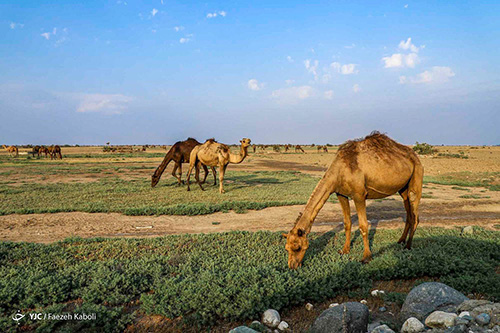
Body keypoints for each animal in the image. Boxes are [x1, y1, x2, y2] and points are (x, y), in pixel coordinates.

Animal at [286, 131, 422, 268]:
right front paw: (344, 250)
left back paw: (408, 246)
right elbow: (347, 223)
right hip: (403, 189)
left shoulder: (359, 194)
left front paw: (366, 257)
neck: (339, 171)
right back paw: (400, 240)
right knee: (408, 213)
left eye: (297, 247)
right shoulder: (340, 194)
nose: (292, 266)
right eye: (287, 248)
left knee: (415, 215)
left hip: (417, 177)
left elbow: (363, 225)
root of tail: (415, 157)